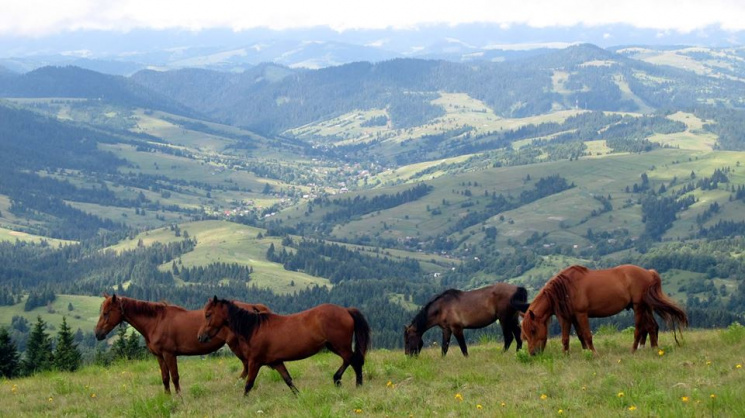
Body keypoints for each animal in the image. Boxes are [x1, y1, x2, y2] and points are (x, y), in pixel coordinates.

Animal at [94, 292, 270, 394]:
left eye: (106, 313)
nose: (97, 334)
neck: (156, 321)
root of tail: (253, 308)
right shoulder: (159, 356)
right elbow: (165, 377)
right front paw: (167, 396)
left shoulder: (169, 354)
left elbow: (175, 377)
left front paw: (178, 396)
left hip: (237, 346)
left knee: (247, 365)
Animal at [198, 296, 370, 396]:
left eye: (208, 314)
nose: (200, 336)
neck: (254, 328)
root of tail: (346, 310)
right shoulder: (276, 362)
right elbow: (288, 380)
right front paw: (299, 396)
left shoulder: (255, 362)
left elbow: (248, 384)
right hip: (334, 346)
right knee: (352, 361)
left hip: (339, 346)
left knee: (354, 361)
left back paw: (352, 384)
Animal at [516, 266, 684, 354]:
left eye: (532, 330)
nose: (533, 354)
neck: (565, 288)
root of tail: (648, 272)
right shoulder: (568, 317)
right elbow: (572, 337)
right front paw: (571, 354)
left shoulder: (581, 314)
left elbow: (587, 335)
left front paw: (593, 353)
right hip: (645, 307)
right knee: (651, 326)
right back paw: (653, 348)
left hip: (638, 307)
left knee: (639, 329)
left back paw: (634, 350)